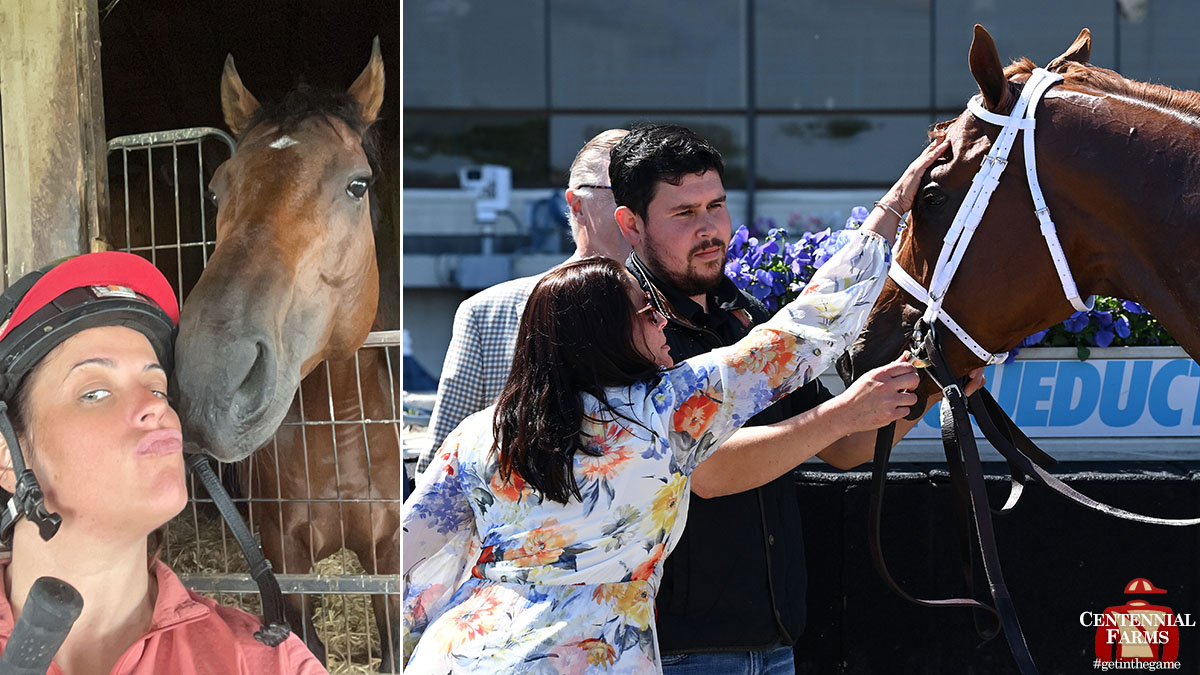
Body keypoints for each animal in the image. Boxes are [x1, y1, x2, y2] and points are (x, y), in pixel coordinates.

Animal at [171, 40, 403, 667]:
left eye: (358, 185)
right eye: (217, 189)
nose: (210, 376)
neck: (341, 425)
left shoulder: (389, 560)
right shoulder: (287, 561)